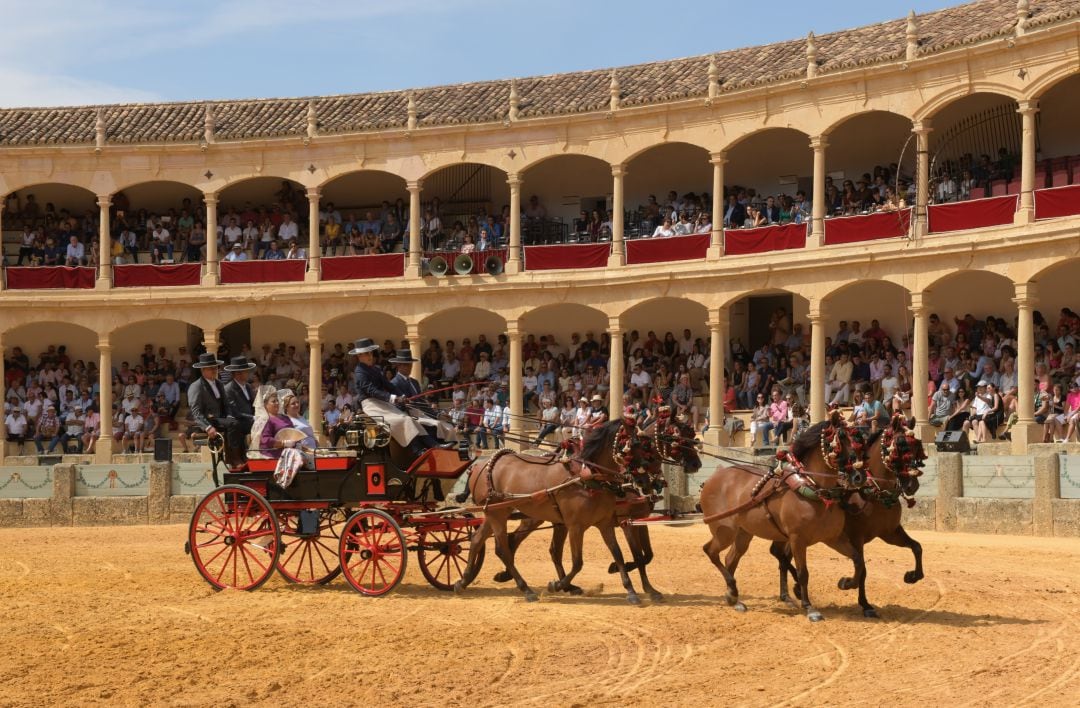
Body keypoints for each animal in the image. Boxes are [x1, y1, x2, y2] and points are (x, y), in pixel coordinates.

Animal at [451, 416, 652, 604]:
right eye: (632, 445)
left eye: (644, 446)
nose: (645, 480)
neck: (587, 477)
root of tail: (480, 465)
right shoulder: (575, 526)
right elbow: (577, 562)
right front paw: (557, 585)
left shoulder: (605, 524)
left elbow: (618, 554)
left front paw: (631, 591)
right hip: (498, 513)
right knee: (503, 549)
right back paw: (526, 589)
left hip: (494, 512)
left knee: (477, 540)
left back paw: (463, 581)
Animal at [695, 412, 864, 621]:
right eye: (839, 439)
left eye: (857, 438)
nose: (858, 476)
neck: (812, 489)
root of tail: (713, 477)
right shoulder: (797, 539)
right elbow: (802, 573)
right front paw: (809, 607)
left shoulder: (833, 538)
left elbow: (858, 559)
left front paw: (847, 582)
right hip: (724, 531)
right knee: (711, 551)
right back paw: (732, 592)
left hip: (743, 533)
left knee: (730, 559)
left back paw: (733, 597)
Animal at [768, 412, 928, 617]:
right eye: (900, 445)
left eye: (917, 446)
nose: (912, 485)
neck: (872, 493)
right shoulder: (856, 537)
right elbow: (862, 569)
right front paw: (861, 599)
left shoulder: (890, 533)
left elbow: (917, 547)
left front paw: (912, 576)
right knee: (780, 554)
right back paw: (793, 590)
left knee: (782, 555)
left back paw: (787, 594)